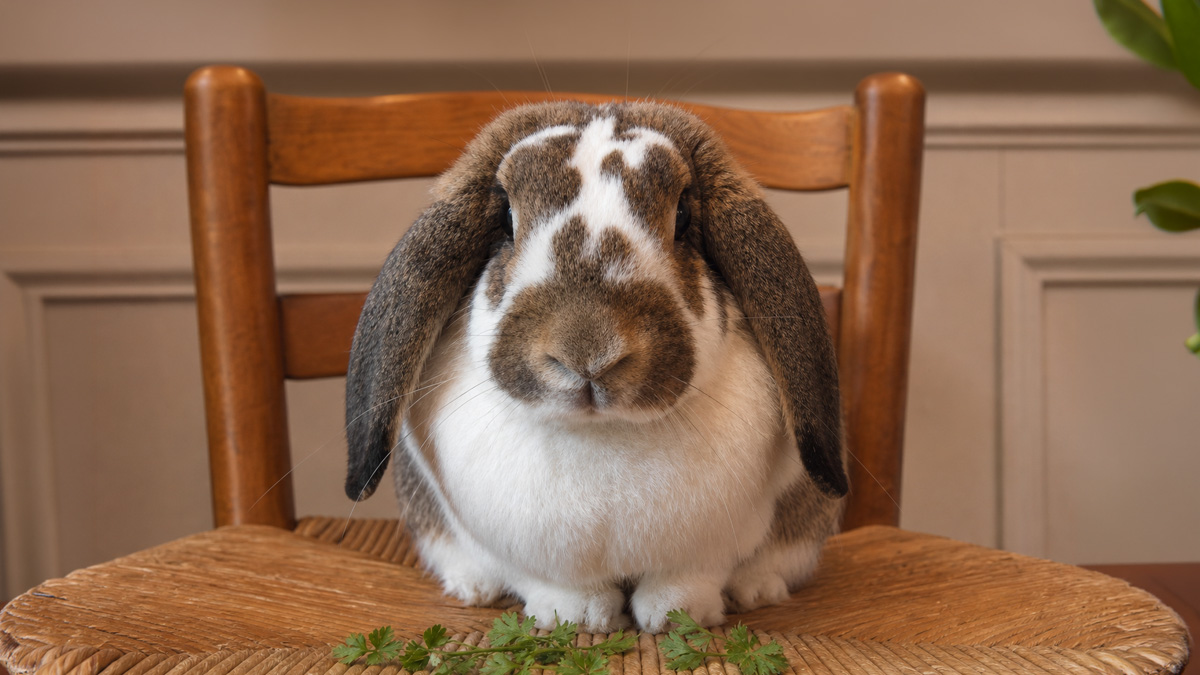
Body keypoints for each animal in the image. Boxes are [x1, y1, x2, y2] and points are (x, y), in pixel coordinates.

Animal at [344, 100, 847, 634]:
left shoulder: (710, 550)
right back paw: (473, 587)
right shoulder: (528, 553)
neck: (601, 432)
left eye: (683, 216)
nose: (588, 353)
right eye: (505, 217)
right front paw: (579, 617)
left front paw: (676, 616)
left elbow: (687, 582)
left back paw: (758, 590)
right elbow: (553, 583)